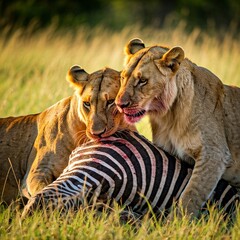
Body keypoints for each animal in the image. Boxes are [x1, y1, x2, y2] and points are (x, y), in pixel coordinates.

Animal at [116, 38, 240, 218]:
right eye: (123, 77)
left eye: (143, 81)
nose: (120, 104)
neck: (168, 116)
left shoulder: (214, 154)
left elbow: (191, 194)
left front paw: (176, 222)